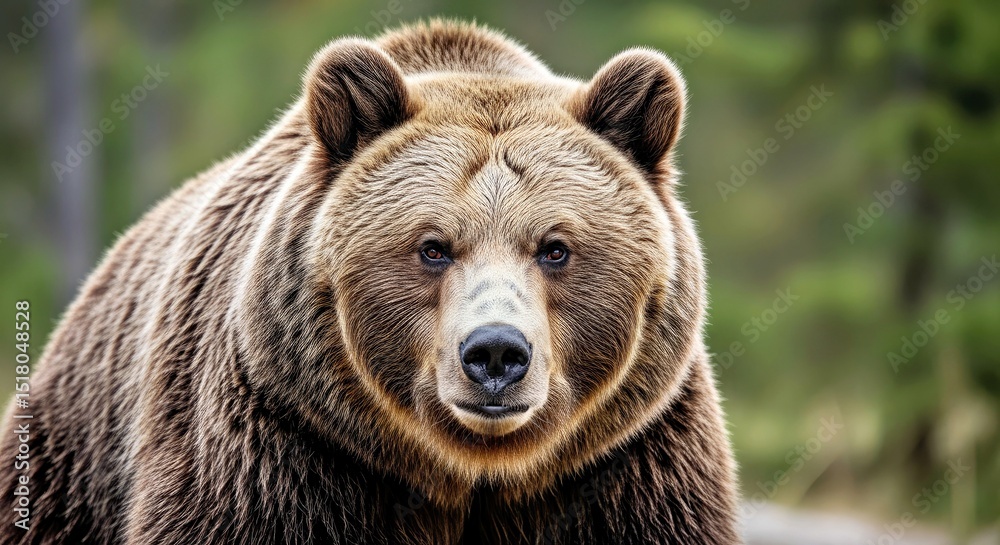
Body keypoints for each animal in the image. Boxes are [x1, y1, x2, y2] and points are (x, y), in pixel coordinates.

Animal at [0, 19, 741, 544]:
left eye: (555, 248)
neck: (468, 472)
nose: (495, 353)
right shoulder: (283, 451)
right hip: (69, 464)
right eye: (432, 247)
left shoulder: (622, 464)